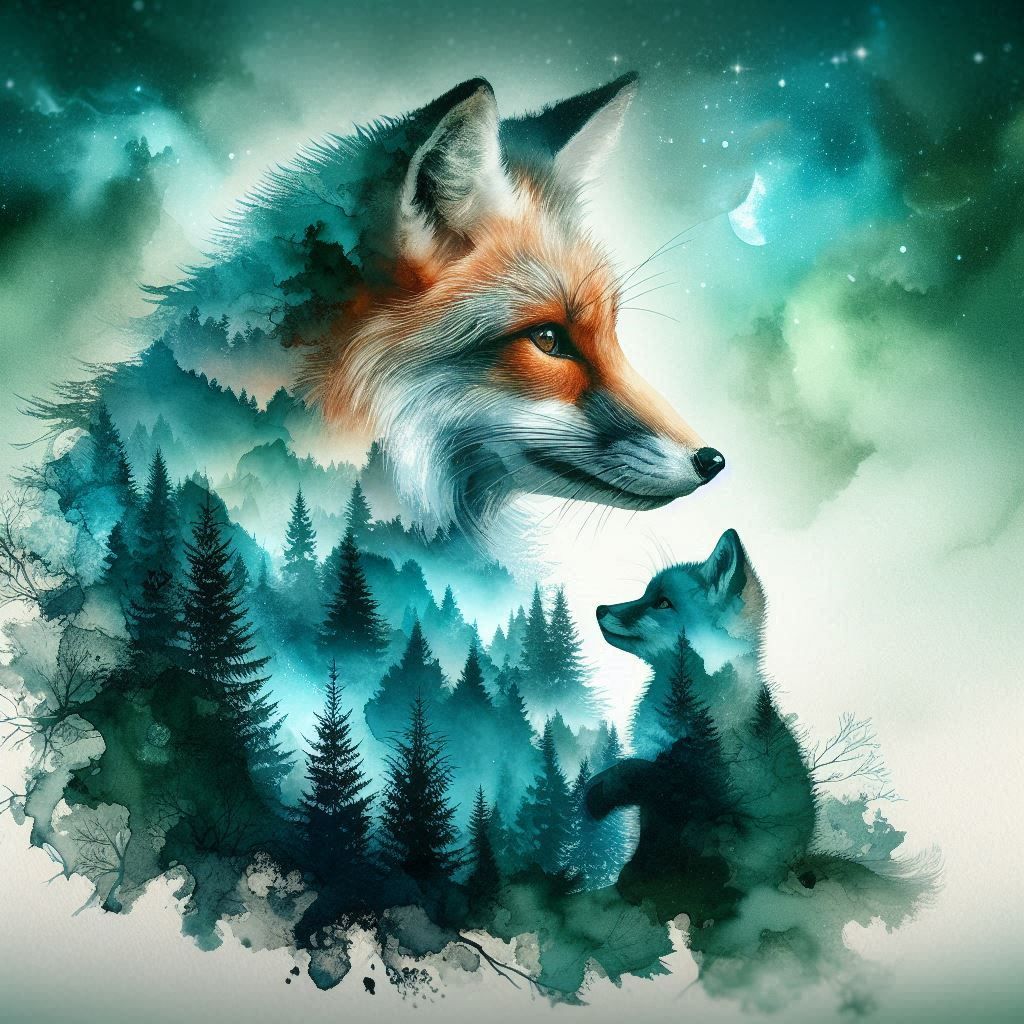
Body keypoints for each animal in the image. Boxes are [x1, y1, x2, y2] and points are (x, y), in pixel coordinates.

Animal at [586, 529, 817, 915]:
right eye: (646, 594)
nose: (600, 608)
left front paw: (598, 794)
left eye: (662, 603)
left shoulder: (694, 785)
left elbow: (632, 771)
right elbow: (647, 835)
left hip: (723, 834)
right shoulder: (661, 791)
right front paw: (631, 879)